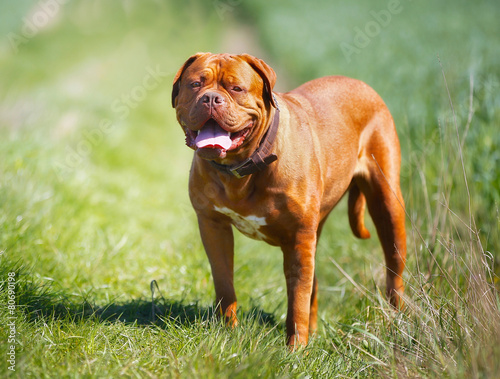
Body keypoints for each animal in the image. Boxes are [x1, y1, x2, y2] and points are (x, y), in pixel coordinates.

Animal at [172, 52, 406, 348]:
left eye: (236, 88)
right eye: (195, 84)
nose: (211, 98)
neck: (244, 167)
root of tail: (360, 83)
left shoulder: (298, 238)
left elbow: (297, 296)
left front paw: (295, 349)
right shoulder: (213, 226)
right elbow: (225, 282)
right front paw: (227, 332)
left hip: (388, 203)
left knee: (394, 267)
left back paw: (396, 322)